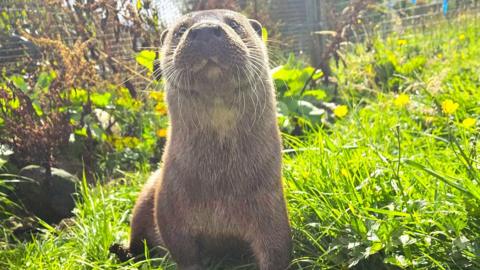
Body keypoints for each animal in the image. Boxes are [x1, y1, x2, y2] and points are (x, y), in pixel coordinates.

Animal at [118, 8, 290, 270]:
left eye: (234, 24)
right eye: (180, 30)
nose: (205, 30)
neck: (220, 184)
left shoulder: (270, 207)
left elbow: (277, 250)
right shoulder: (169, 211)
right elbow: (184, 254)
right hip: (146, 193)